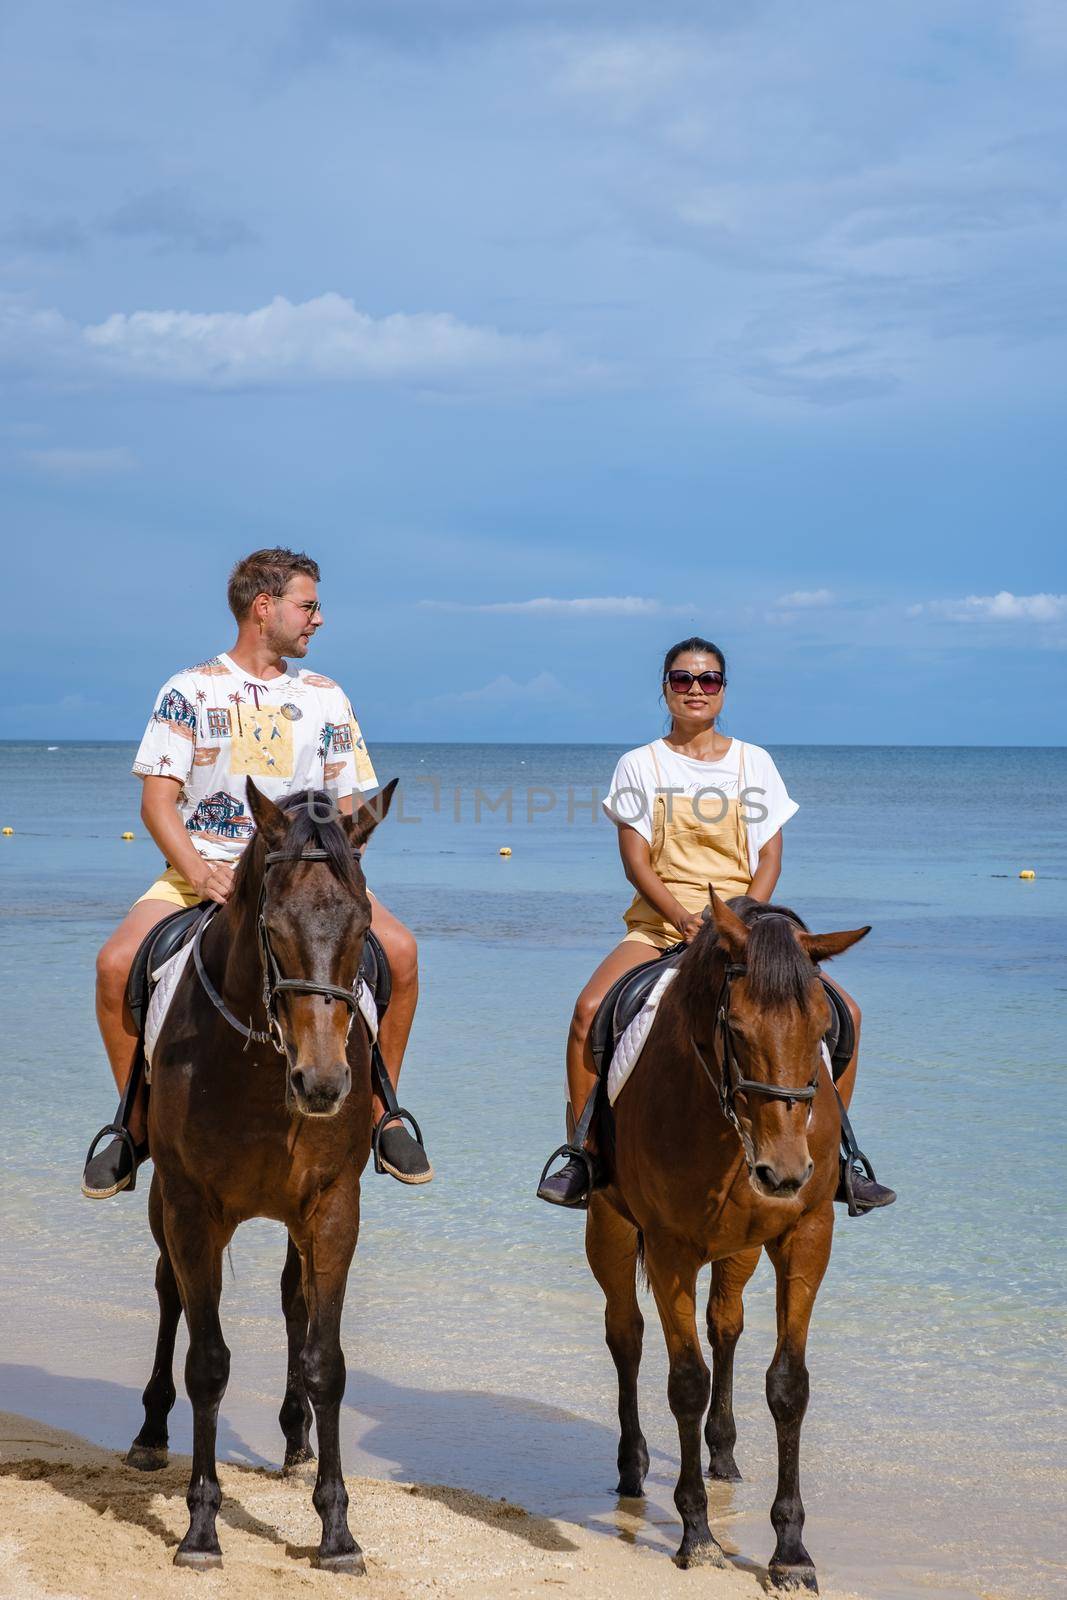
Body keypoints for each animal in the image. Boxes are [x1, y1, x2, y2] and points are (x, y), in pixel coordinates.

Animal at [122, 780, 396, 1568]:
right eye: (273, 926)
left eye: (363, 923)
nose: (324, 1083)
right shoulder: (191, 1210)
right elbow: (208, 1362)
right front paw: (201, 1527)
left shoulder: (333, 1209)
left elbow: (326, 1359)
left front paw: (335, 1530)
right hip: (164, 1204)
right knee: (168, 1294)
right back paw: (150, 1433)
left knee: (294, 1303)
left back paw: (296, 1438)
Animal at [588, 896, 870, 1593]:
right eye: (736, 1028)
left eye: (822, 1027)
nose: (784, 1171)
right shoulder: (669, 1250)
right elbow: (686, 1381)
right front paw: (697, 1536)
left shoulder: (805, 1235)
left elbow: (788, 1385)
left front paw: (791, 1551)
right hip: (609, 1228)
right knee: (626, 1334)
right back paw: (632, 1466)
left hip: (739, 1250)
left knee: (726, 1325)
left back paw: (723, 1456)